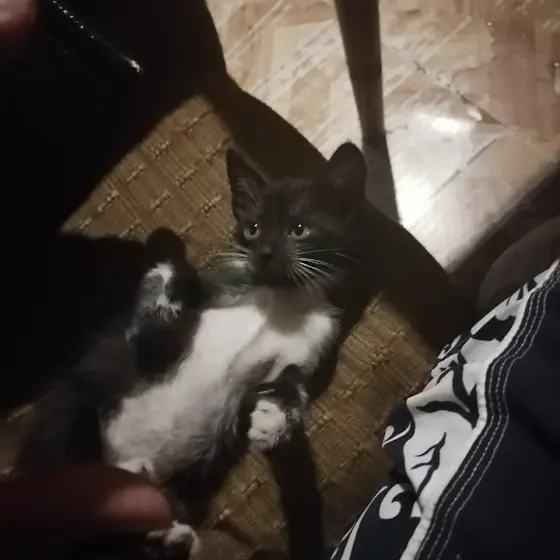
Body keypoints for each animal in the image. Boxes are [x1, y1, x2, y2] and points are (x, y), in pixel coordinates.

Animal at [16, 141, 368, 558]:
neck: (280, 299)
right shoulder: (194, 306)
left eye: (299, 229)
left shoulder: (311, 346)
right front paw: (168, 280)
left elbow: (294, 386)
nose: (264, 252)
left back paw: (169, 537)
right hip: (72, 424)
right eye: (252, 228)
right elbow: (158, 315)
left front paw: (272, 420)